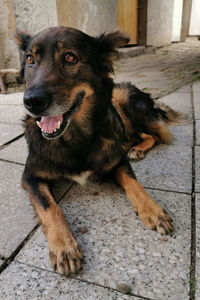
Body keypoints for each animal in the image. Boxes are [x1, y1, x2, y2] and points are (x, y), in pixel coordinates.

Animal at [14, 27, 180, 276]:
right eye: (30, 59)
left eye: (69, 57)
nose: (31, 102)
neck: (74, 138)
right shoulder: (31, 176)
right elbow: (50, 207)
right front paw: (64, 247)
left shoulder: (116, 161)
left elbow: (135, 184)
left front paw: (152, 209)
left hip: (126, 102)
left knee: (154, 134)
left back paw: (137, 149)